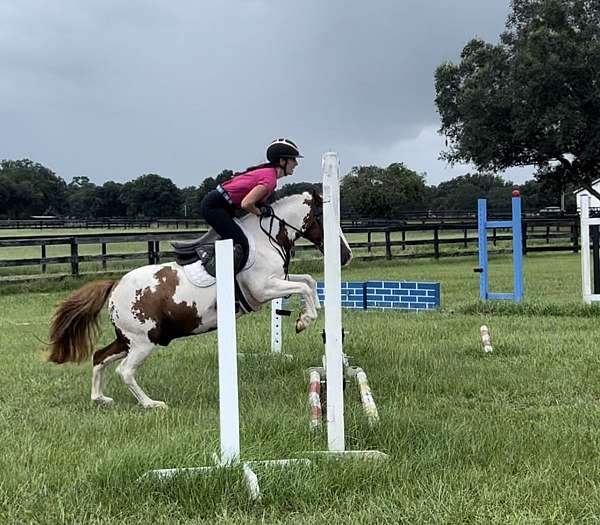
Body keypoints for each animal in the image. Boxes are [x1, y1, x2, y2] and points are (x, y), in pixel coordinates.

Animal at [50, 192, 356, 410]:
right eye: (323, 219)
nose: (346, 255)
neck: (265, 239)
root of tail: (115, 287)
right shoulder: (263, 289)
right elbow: (303, 287)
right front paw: (306, 320)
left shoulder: (278, 281)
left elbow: (308, 282)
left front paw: (308, 315)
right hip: (142, 342)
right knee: (124, 371)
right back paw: (151, 404)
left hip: (128, 339)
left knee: (99, 357)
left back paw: (99, 399)